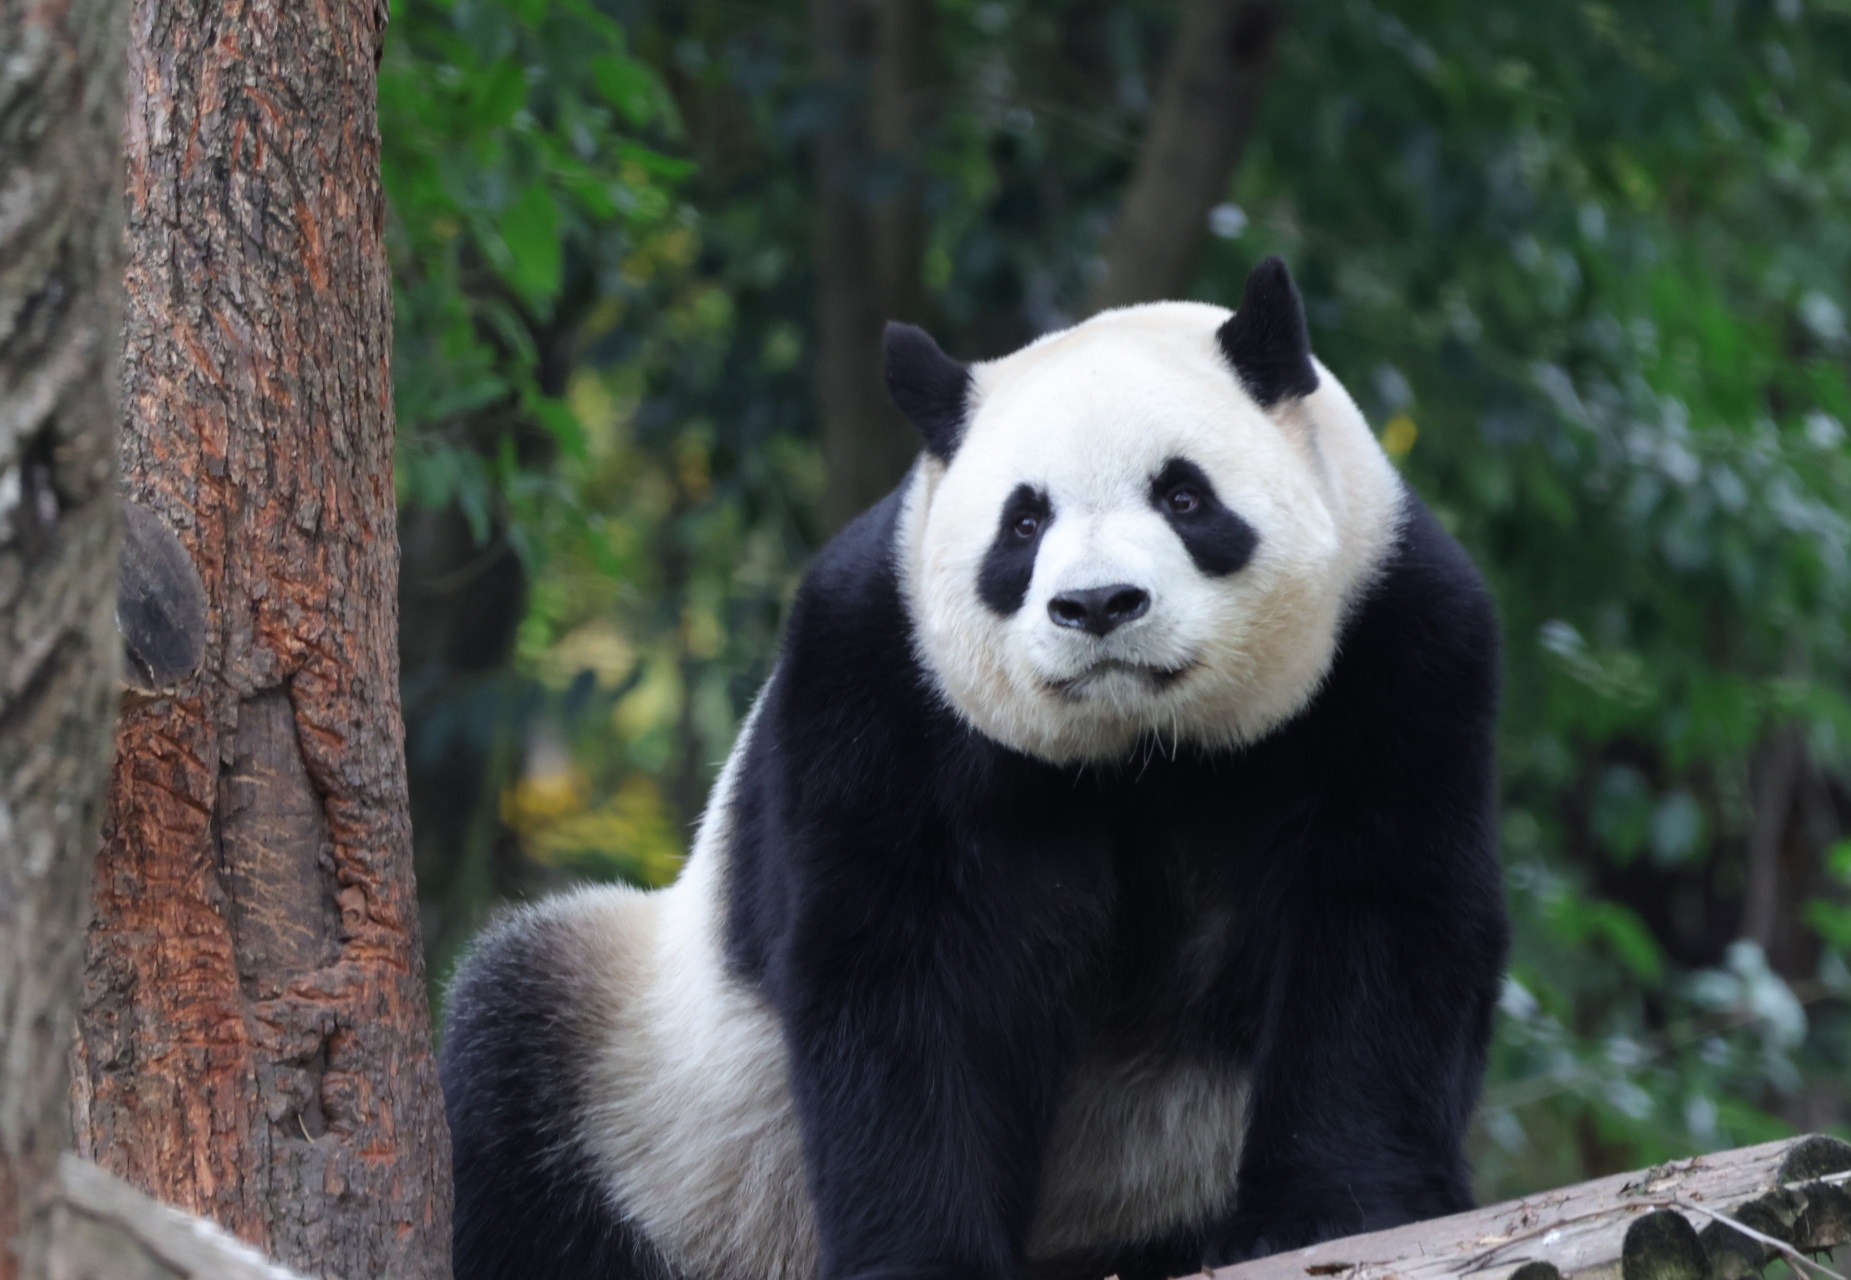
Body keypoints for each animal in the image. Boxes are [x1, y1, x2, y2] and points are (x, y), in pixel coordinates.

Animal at [440, 255, 1510, 1280]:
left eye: (1183, 496)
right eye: (1022, 524)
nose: (1097, 605)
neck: (1137, 752)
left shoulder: (1394, 648)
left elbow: (1377, 921)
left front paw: (1330, 1212)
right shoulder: (880, 684)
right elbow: (903, 968)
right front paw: (921, 1256)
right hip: (657, 1093)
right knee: (510, 1070)